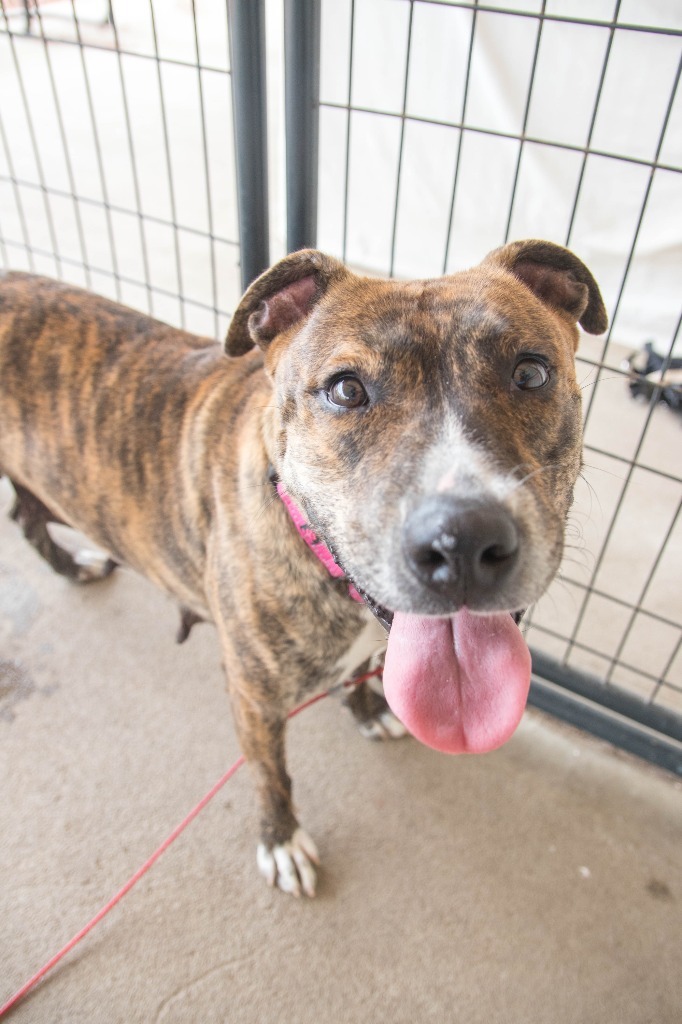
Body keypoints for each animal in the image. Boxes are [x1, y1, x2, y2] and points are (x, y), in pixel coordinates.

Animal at [0, 239, 606, 897]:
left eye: (531, 373)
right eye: (345, 390)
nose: (463, 543)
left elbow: (361, 675)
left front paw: (368, 713)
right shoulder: (253, 696)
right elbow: (273, 774)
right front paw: (281, 839)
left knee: (25, 514)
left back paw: (70, 566)